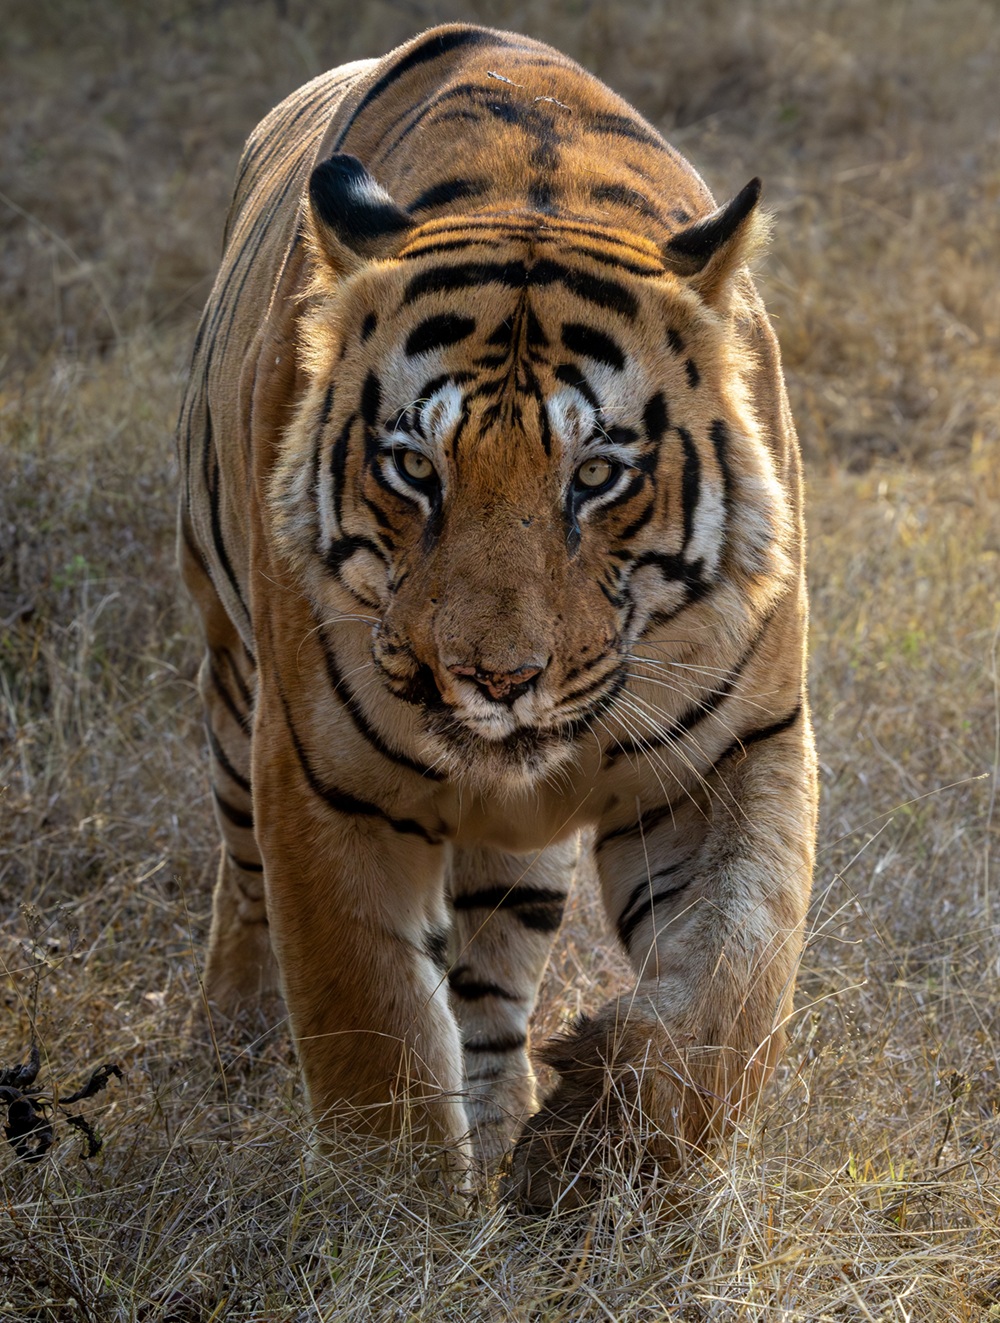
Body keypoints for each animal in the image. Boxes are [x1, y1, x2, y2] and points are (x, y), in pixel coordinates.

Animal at [176, 22, 817, 1209]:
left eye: (598, 475)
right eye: (412, 469)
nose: (495, 679)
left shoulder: (736, 753)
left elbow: (729, 988)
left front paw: (606, 1156)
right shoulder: (324, 780)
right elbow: (371, 1037)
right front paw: (397, 1218)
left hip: (517, 857)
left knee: (488, 976)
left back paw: (508, 1115)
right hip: (230, 683)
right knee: (242, 886)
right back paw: (230, 1040)